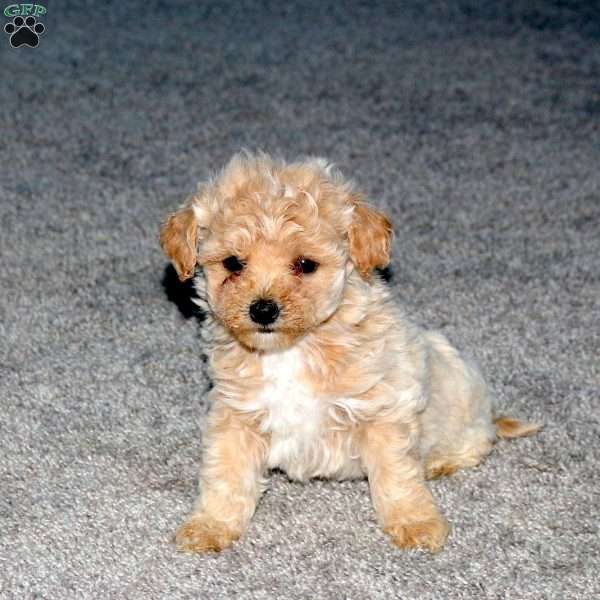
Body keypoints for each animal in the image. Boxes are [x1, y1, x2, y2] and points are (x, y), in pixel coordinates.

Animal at [161, 151, 540, 552]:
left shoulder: (384, 413)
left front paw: (416, 523)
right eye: (233, 263)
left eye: (305, 264)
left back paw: (440, 462)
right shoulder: (236, 415)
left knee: (477, 443)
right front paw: (210, 525)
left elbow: (397, 475)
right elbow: (226, 475)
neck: (296, 348)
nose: (263, 310)